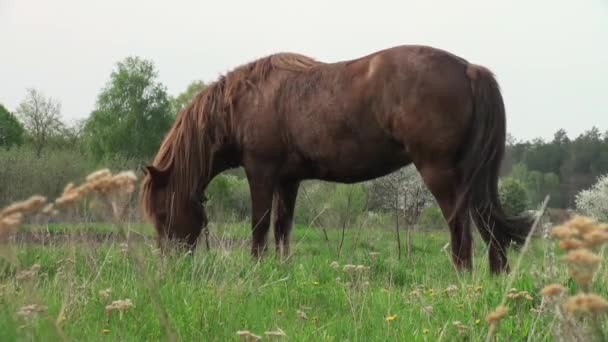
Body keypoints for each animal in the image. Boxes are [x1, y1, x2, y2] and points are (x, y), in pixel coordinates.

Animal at [139, 45, 532, 276]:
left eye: (163, 211)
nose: (170, 266)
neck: (243, 103)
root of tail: (469, 68)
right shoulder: (288, 180)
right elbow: (282, 227)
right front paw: (282, 271)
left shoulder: (261, 172)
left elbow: (259, 224)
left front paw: (256, 268)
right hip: (471, 175)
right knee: (486, 222)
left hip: (439, 172)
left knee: (459, 226)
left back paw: (461, 277)